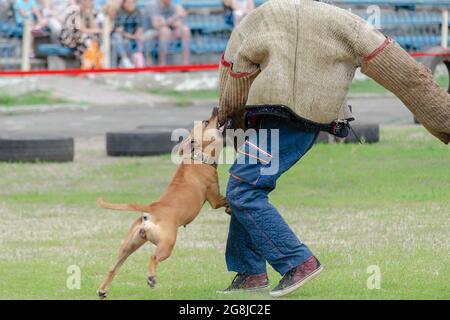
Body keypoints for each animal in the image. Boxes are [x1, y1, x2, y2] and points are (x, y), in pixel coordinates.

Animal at [95, 109, 229, 298]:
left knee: (113, 267)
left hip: (128, 246)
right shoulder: (215, 199)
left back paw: (103, 290)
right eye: (206, 122)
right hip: (167, 244)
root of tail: (151, 211)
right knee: (153, 258)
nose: (215, 108)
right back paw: (151, 278)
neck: (197, 156)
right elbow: (226, 200)